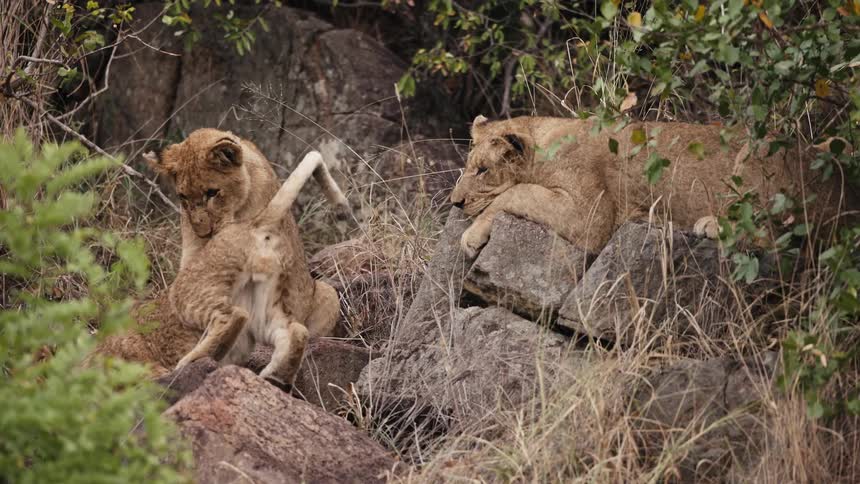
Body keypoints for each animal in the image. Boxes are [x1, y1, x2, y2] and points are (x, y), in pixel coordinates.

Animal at [450, 115, 847, 258]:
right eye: (467, 167)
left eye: (483, 170)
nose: (454, 202)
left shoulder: (589, 216)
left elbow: (517, 193)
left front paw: (471, 236)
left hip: (761, 149)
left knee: (782, 234)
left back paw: (710, 224)